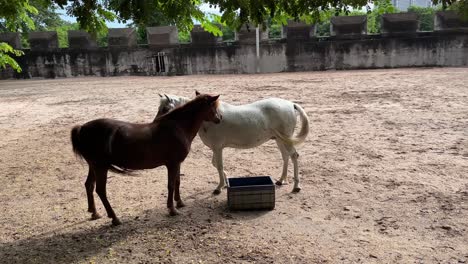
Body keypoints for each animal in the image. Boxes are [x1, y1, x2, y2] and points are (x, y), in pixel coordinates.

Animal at [70, 92, 222, 225]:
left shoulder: (177, 163)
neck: (177, 127)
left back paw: (94, 213)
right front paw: (172, 209)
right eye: (213, 107)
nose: (219, 118)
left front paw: (179, 202)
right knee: (101, 191)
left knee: (89, 185)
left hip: (93, 166)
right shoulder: (172, 164)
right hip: (100, 167)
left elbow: (177, 182)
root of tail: (82, 128)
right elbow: (171, 185)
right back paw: (115, 218)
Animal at [157, 92, 310, 194]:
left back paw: (296, 186)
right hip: (280, 140)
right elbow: (215, 164)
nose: (156, 123)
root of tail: (291, 104)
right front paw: (225, 182)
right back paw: (281, 180)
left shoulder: (218, 148)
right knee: (286, 157)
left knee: (294, 156)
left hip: (285, 139)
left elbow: (219, 166)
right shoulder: (216, 149)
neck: (211, 118)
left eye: (165, 108)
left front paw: (219, 187)